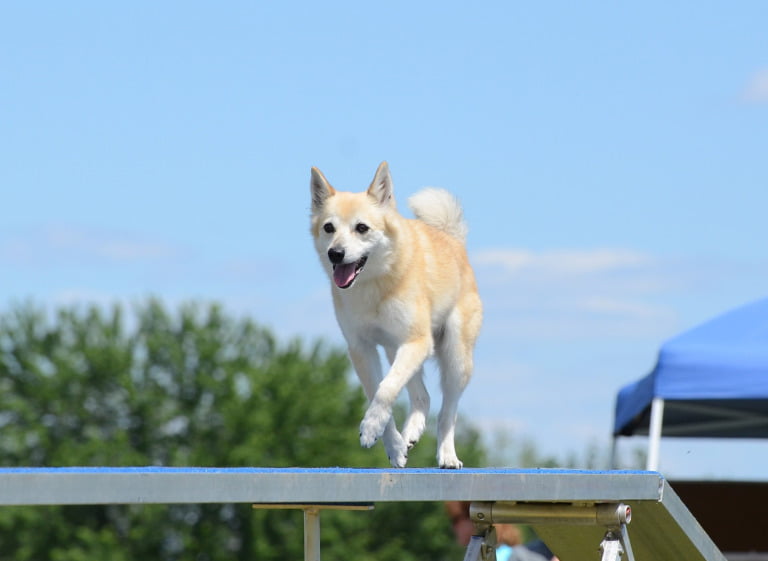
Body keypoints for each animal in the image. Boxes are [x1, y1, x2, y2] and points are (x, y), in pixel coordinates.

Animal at [308, 162, 480, 468]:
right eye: (329, 227)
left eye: (361, 228)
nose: (335, 253)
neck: (375, 283)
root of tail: (452, 239)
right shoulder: (362, 349)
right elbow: (377, 391)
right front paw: (392, 444)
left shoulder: (416, 342)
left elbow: (386, 390)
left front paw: (370, 427)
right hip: (394, 350)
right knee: (422, 397)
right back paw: (410, 434)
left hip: (455, 358)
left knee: (447, 413)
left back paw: (447, 455)